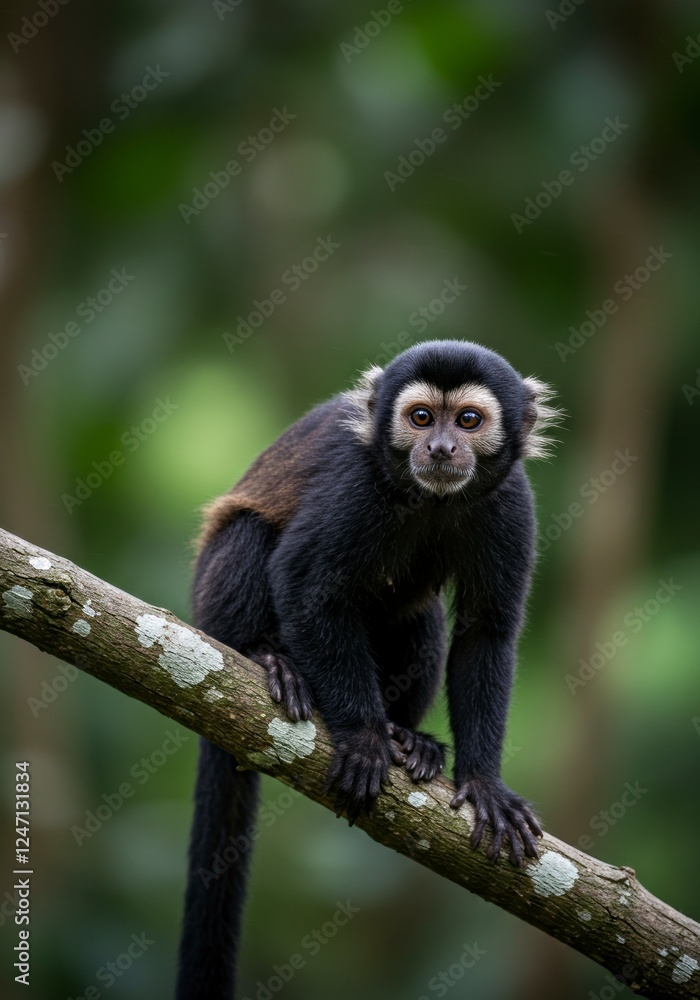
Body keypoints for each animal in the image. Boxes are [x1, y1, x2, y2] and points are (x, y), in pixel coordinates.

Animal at [175, 339, 561, 1000]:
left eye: (468, 421)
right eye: (421, 418)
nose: (440, 449)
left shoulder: (512, 502)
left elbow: (485, 634)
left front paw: (482, 782)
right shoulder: (356, 488)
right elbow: (307, 588)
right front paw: (361, 738)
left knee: (422, 616)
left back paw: (407, 735)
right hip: (211, 611)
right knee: (250, 533)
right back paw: (267, 660)